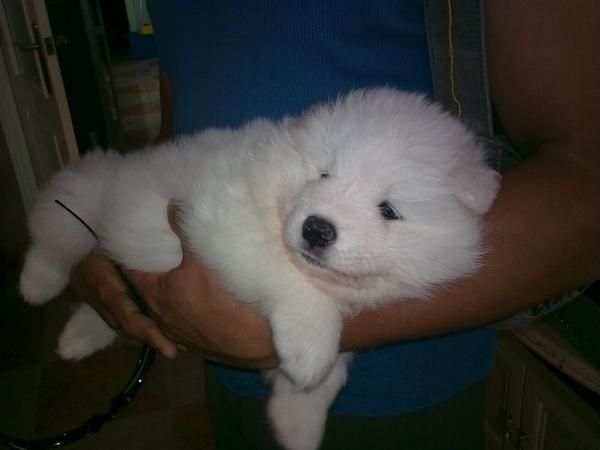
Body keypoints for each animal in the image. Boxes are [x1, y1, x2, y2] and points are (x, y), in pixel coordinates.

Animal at [19, 89, 496, 450]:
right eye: (323, 174)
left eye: (388, 210)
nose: (316, 229)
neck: (270, 192)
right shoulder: (223, 230)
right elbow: (291, 282)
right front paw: (310, 351)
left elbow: (331, 372)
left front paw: (298, 419)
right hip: (84, 196)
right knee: (54, 235)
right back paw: (36, 284)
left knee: (120, 307)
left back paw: (78, 335)